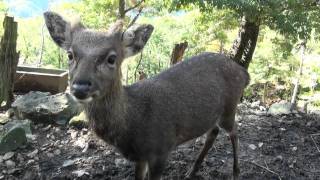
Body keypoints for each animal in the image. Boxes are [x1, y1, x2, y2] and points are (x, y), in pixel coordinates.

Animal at [44, 11, 250, 180]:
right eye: (70, 55)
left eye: (112, 58)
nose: (80, 86)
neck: (135, 125)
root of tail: (244, 74)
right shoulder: (140, 157)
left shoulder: (162, 149)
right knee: (213, 131)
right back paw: (192, 171)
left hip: (230, 106)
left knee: (235, 131)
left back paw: (236, 172)